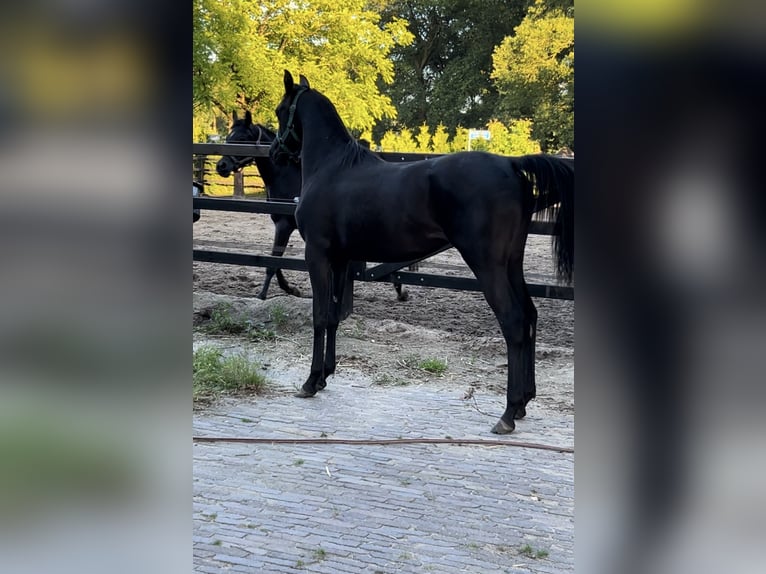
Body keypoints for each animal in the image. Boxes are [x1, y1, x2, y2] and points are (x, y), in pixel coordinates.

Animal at [216, 110, 416, 304]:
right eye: (228, 137)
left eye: (242, 139)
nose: (221, 166)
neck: (286, 176)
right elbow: (275, 259)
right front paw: (291, 289)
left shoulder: (284, 225)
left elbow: (273, 262)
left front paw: (262, 296)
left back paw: (401, 290)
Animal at [272, 70, 572, 434]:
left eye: (279, 111)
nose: (273, 152)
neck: (332, 168)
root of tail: (511, 166)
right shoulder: (340, 259)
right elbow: (331, 317)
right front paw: (325, 376)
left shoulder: (317, 256)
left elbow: (318, 316)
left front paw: (310, 381)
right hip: (512, 263)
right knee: (529, 315)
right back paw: (525, 402)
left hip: (488, 266)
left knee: (514, 321)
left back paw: (508, 412)